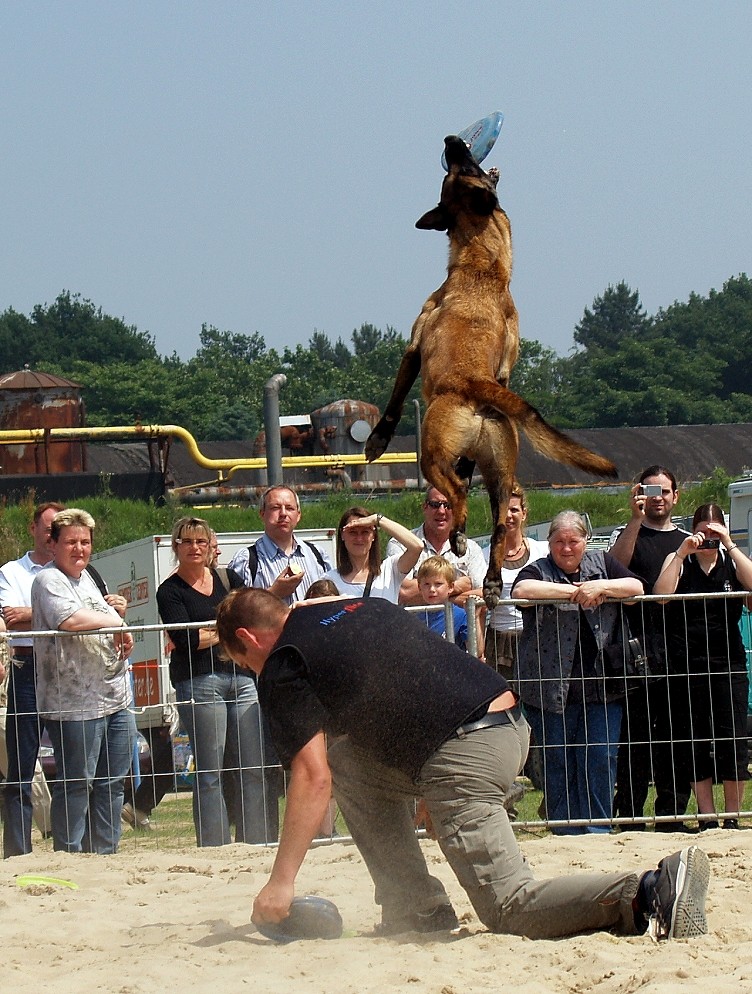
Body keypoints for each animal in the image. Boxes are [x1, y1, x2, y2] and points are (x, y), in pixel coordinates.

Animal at [364, 136, 616, 604]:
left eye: (462, 168)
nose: (451, 140)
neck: (483, 265)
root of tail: (474, 385)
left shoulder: (413, 346)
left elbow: (394, 401)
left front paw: (376, 440)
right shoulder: (507, 362)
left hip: (432, 455)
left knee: (458, 493)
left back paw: (460, 534)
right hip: (502, 470)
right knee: (497, 525)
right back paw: (495, 579)